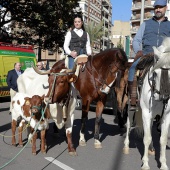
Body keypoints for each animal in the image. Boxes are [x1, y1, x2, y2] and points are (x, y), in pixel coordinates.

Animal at [123, 37, 170, 170]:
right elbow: (147, 138)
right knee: (129, 124)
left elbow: (163, 139)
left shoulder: (166, 116)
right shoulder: (146, 113)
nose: (163, 97)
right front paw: (145, 163)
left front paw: (163, 164)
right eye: (155, 73)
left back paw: (151, 149)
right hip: (131, 108)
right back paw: (126, 146)